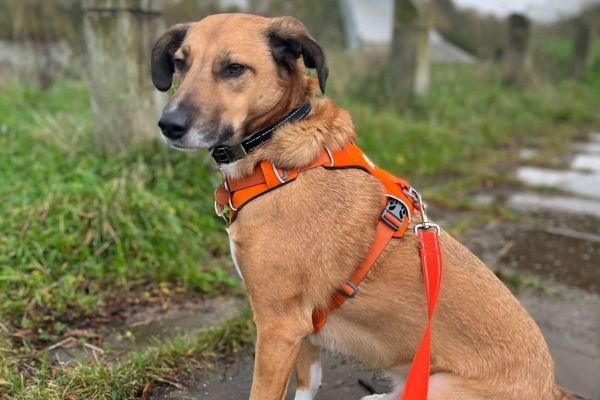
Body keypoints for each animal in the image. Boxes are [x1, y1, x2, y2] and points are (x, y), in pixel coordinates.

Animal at [151, 12, 584, 400]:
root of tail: (549, 387)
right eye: (180, 63)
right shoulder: (301, 330)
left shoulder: (278, 326)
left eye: (234, 68)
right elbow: (308, 384)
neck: (275, 158)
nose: (169, 125)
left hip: (438, 385)